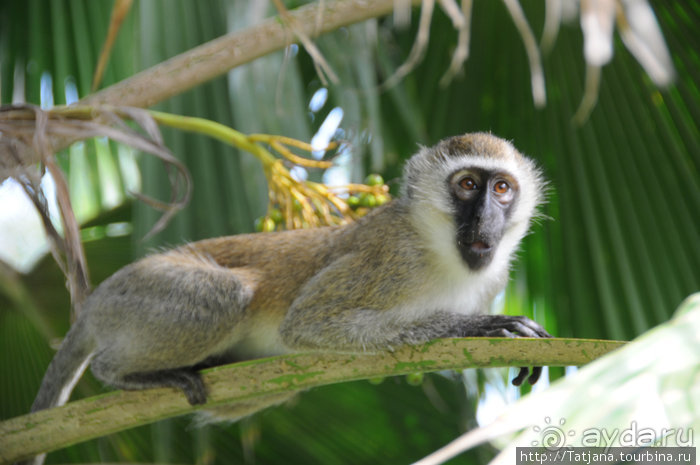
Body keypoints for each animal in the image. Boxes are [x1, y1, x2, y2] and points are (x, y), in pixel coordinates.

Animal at [28, 131, 552, 416]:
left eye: (501, 189)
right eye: (467, 184)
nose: (486, 216)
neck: (439, 249)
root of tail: (98, 298)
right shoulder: (390, 257)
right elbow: (306, 324)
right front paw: (480, 326)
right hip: (140, 292)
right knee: (226, 294)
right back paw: (118, 371)